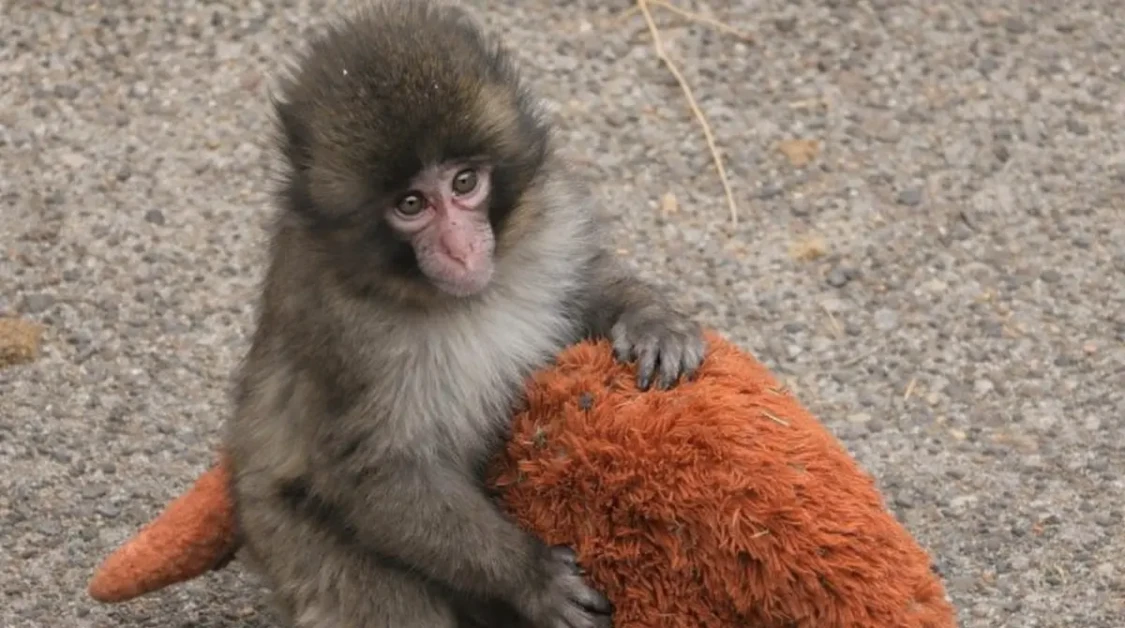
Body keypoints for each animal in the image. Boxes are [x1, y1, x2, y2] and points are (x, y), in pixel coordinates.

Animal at [224, 1, 706, 627]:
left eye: (465, 182)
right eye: (411, 205)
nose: (460, 248)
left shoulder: (551, 219)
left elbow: (584, 286)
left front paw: (651, 322)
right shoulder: (340, 328)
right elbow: (375, 472)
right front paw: (531, 575)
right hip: (291, 541)